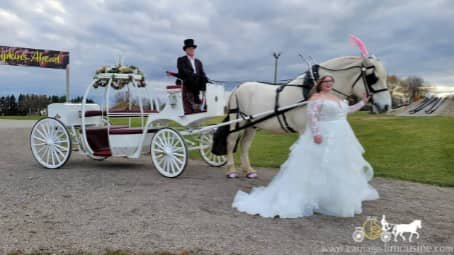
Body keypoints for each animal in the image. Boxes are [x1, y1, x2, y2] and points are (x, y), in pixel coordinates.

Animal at [223, 55, 390, 175]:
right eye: (372, 77)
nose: (386, 106)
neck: (311, 89)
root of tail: (238, 87)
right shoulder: (305, 130)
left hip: (251, 126)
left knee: (244, 145)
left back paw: (248, 170)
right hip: (237, 122)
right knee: (230, 141)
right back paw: (231, 170)